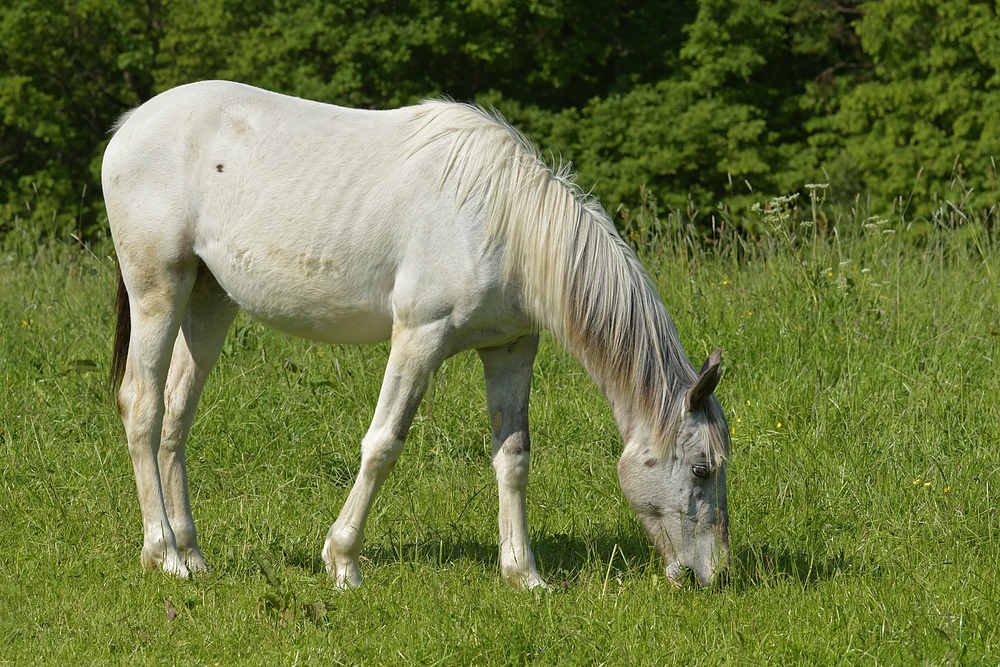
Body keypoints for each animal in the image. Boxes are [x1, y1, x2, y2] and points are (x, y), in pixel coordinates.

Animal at [101, 79, 732, 588]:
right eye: (701, 469)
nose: (716, 574)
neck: (505, 223)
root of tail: (129, 126)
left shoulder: (509, 349)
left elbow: (513, 457)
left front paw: (524, 576)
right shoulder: (420, 337)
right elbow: (383, 444)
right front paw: (343, 562)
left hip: (210, 299)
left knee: (176, 415)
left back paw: (192, 553)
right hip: (159, 290)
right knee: (142, 406)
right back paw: (164, 555)